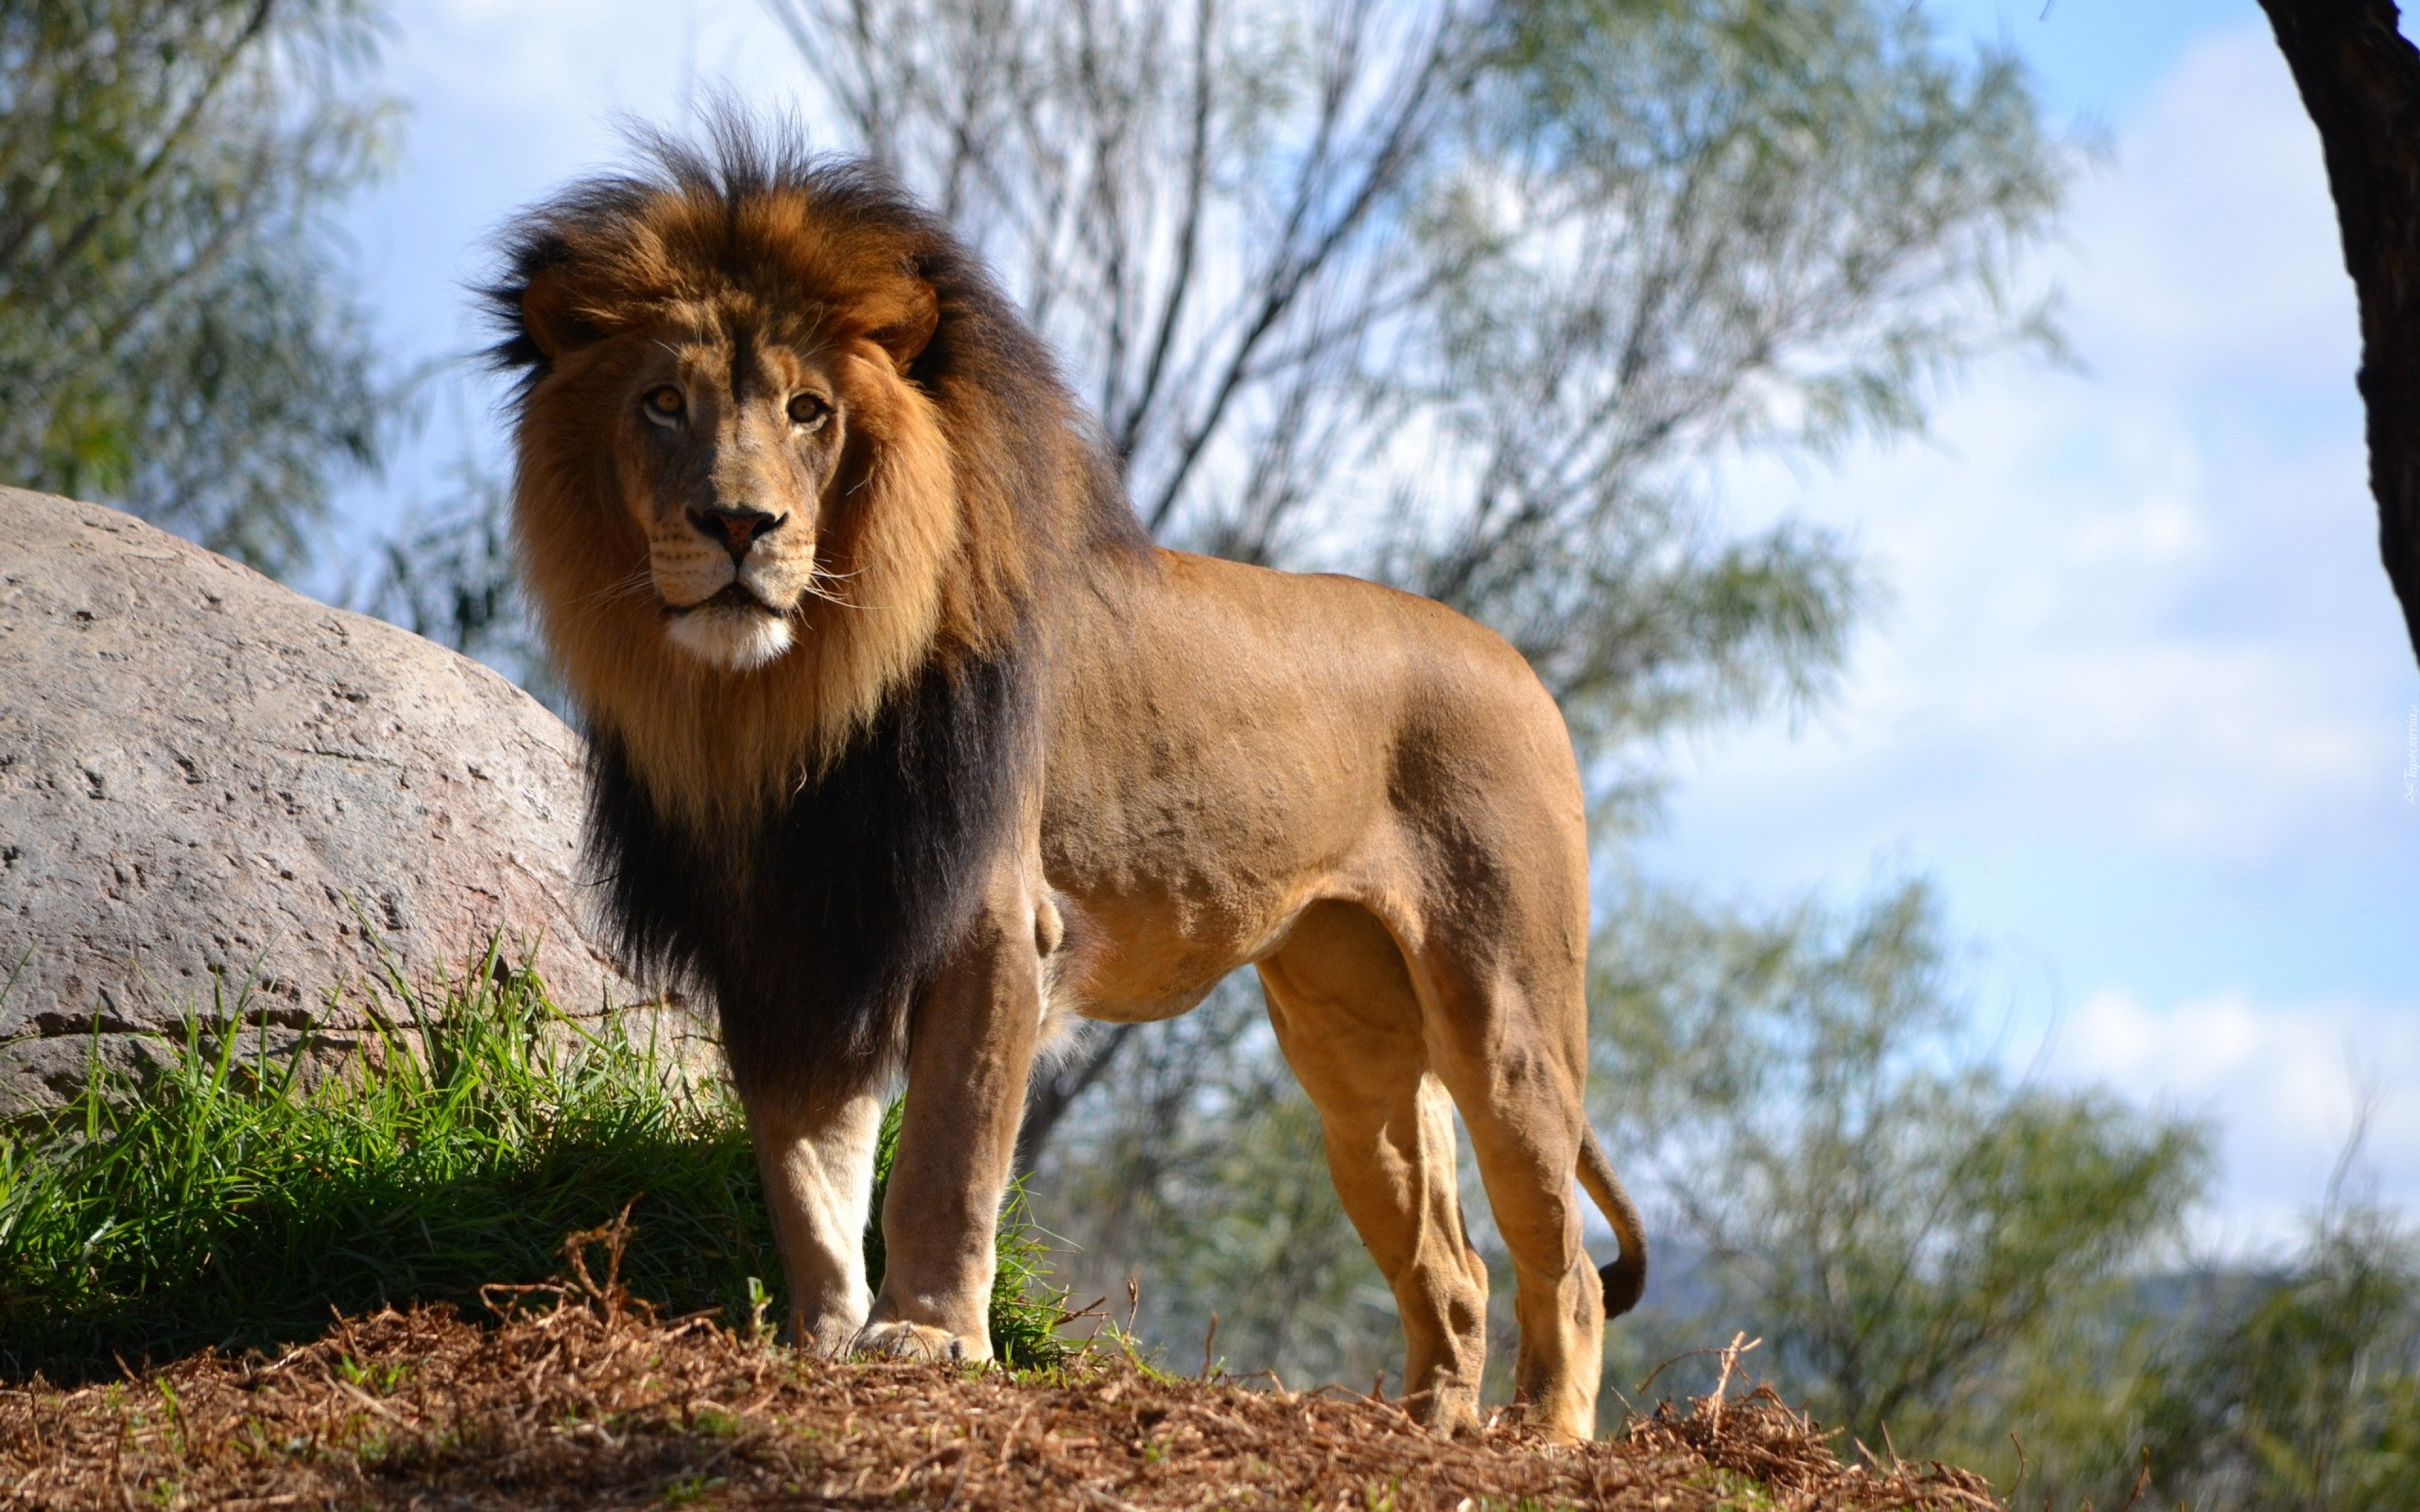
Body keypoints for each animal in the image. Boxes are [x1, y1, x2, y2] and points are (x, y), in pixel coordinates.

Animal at [500, 127, 1655, 1441]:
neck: (782, 702)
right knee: (1451, 1267)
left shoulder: (990, 918)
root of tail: (1518, 664)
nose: (739, 524)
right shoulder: (789, 937)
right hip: (1351, 1035)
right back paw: (1427, 1429)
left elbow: (945, 1156)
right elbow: (805, 1166)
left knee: (1561, 1261)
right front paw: (822, 1337)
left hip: (1503, 1007)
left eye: (808, 411)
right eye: (662, 404)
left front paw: (927, 1338)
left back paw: (1546, 1437)